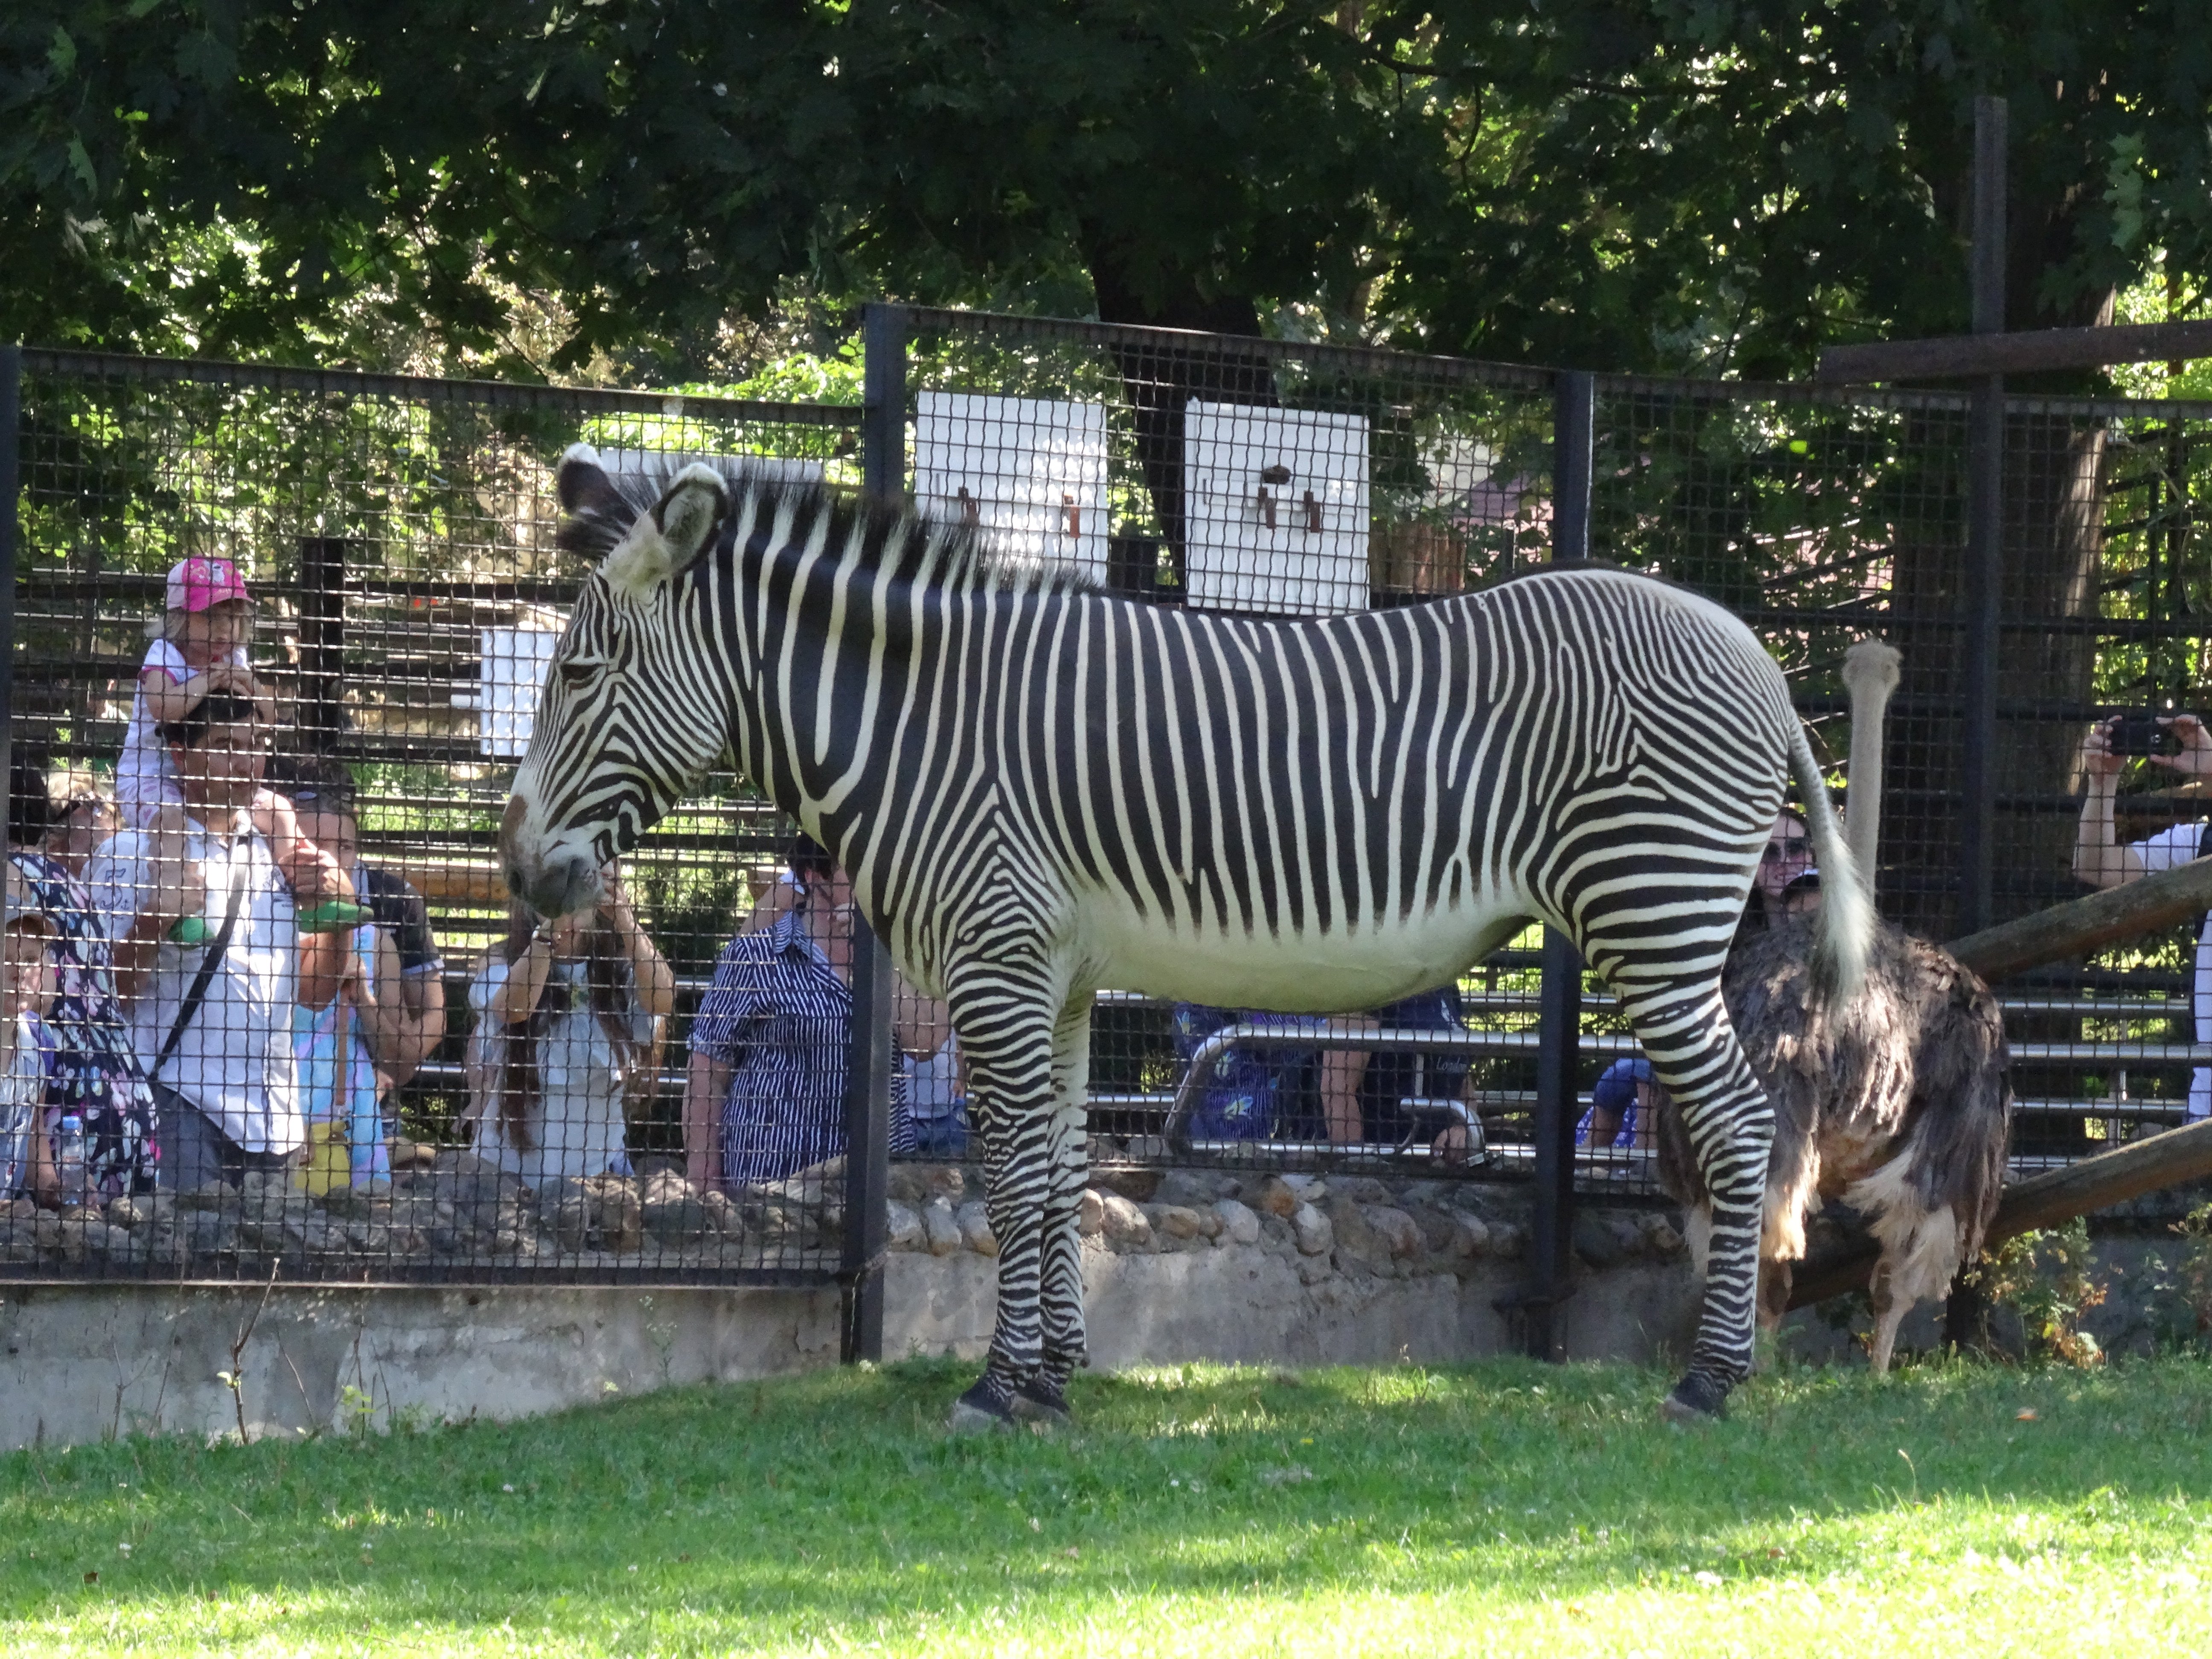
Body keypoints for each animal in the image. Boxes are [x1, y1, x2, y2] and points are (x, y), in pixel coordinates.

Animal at [502, 451, 1867, 1433]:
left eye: (577, 675)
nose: (518, 866)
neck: (922, 727)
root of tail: (1753, 651)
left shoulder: (996, 962)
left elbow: (1011, 1181)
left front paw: (996, 1390)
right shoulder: (1054, 977)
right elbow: (1060, 1175)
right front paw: (1056, 1377)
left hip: (1653, 914)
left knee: (1740, 1127)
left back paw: (1711, 1381)